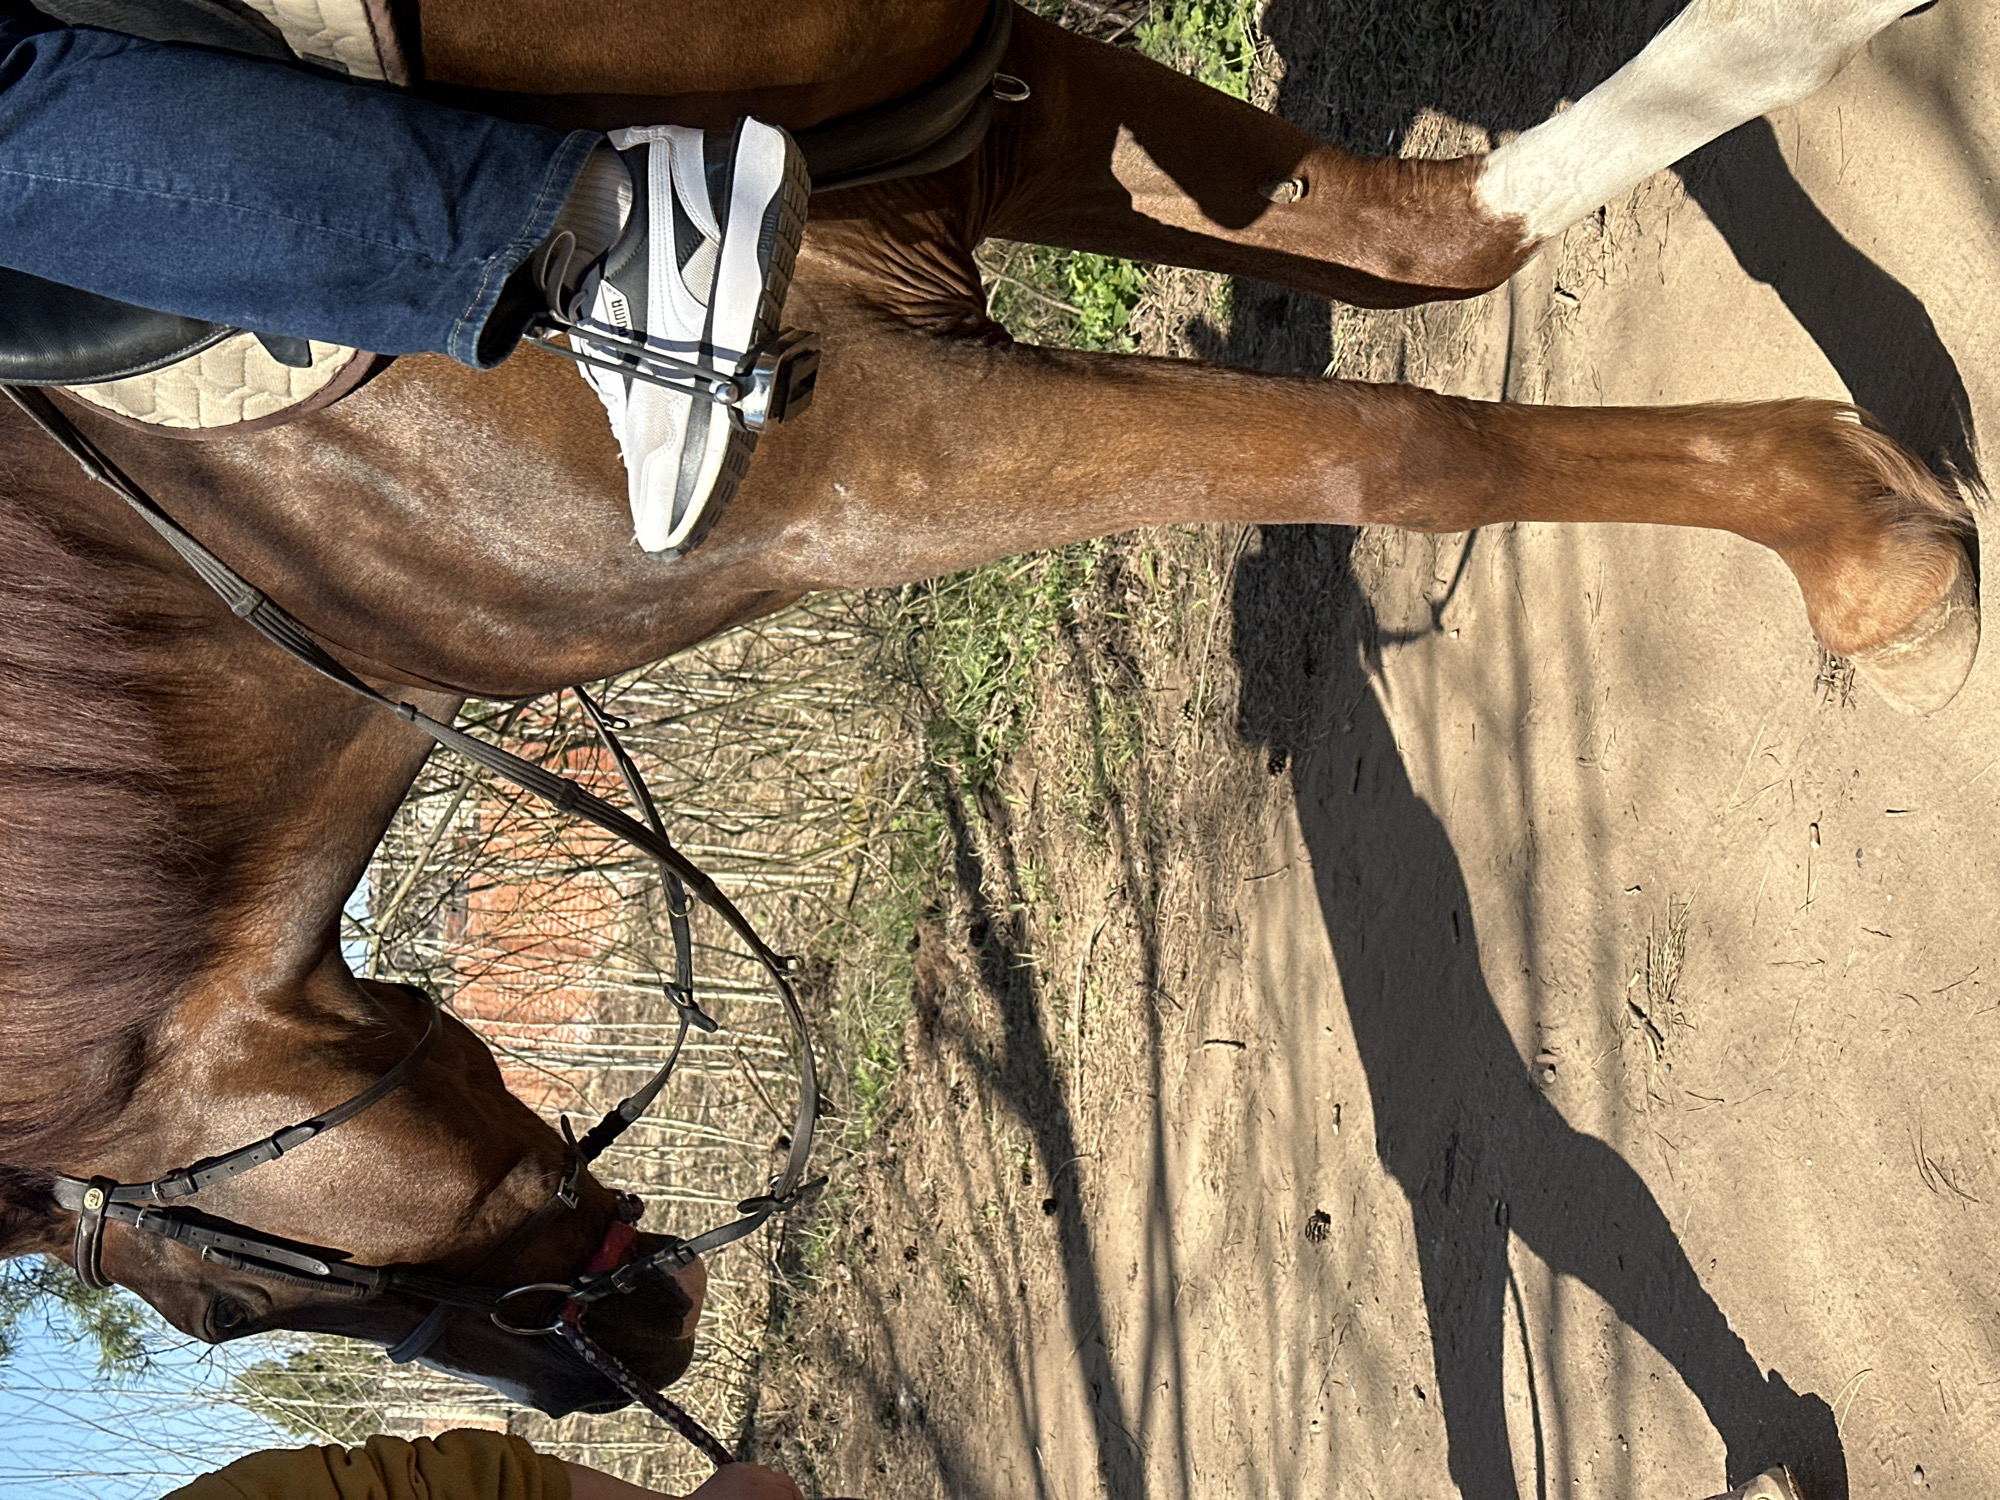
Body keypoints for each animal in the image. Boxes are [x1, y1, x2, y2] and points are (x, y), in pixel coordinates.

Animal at [0, 0, 1976, 1421]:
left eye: (215, 1296)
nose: (617, 1368)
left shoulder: (884, 453)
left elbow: (1402, 443)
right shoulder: (990, 122)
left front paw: (1871, 554)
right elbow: (1454, 241)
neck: (276, 537)